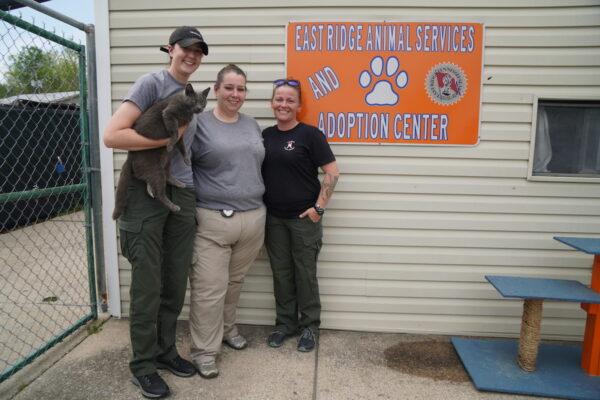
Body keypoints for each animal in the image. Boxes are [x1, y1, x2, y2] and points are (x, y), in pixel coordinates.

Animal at [113, 83, 211, 219]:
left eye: (202, 101)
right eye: (194, 101)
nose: (200, 108)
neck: (187, 112)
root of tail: (130, 155)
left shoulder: (182, 132)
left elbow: (182, 146)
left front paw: (186, 160)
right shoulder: (169, 114)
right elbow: (174, 133)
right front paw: (170, 144)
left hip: (166, 160)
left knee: (163, 177)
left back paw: (178, 183)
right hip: (155, 169)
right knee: (158, 192)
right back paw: (174, 207)